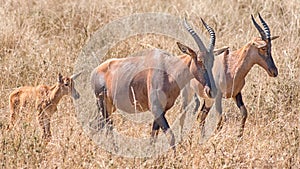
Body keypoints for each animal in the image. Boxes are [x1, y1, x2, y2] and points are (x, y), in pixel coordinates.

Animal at [90, 18, 217, 150]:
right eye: (200, 61)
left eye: (212, 61)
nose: (211, 91)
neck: (168, 68)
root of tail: (95, 71)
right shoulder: (156, 109)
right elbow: (170, 136)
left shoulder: (162, 111)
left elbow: (153, 137)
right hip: (103, 105)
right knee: (108, 127)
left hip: (110, 107)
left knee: (94, 125)